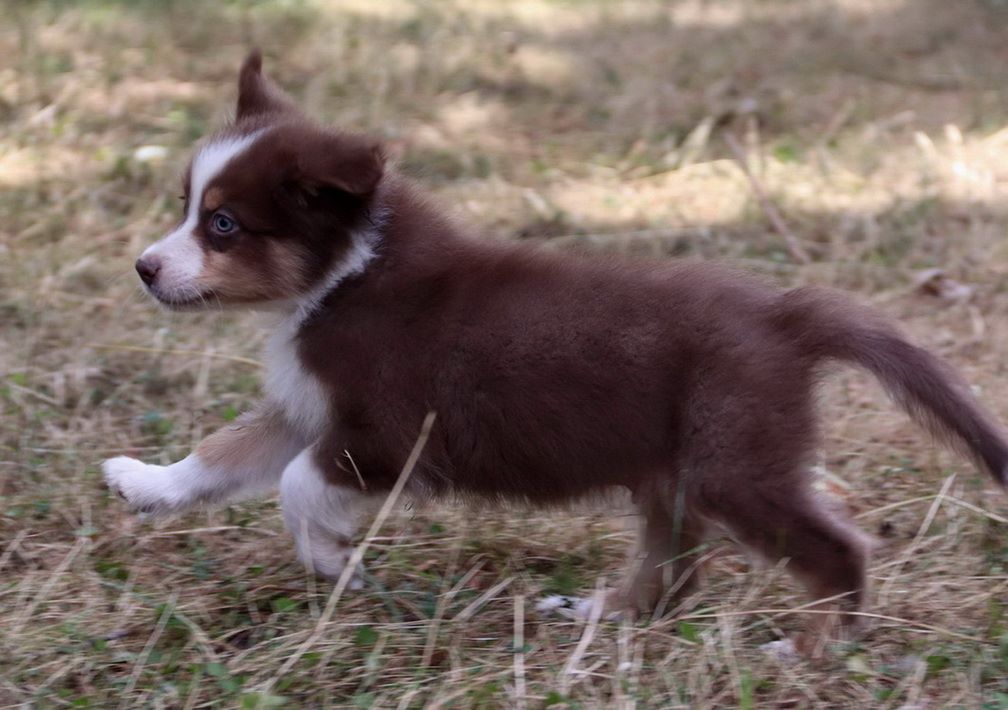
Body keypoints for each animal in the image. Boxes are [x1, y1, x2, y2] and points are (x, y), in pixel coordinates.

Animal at [103, 51, 1007, 653]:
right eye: (187, 207)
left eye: (224, 224)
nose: (143, 268)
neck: (347, 273)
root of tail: (787, 314)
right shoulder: (308, 405)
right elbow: (227, 452)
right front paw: (147, 483)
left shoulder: (388, 431)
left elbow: (294, 483)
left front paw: (329, 559)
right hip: (674, 469)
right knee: (671, 573)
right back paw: (601, 615)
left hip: (735, 460)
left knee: (832, 546)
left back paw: (813, 649)